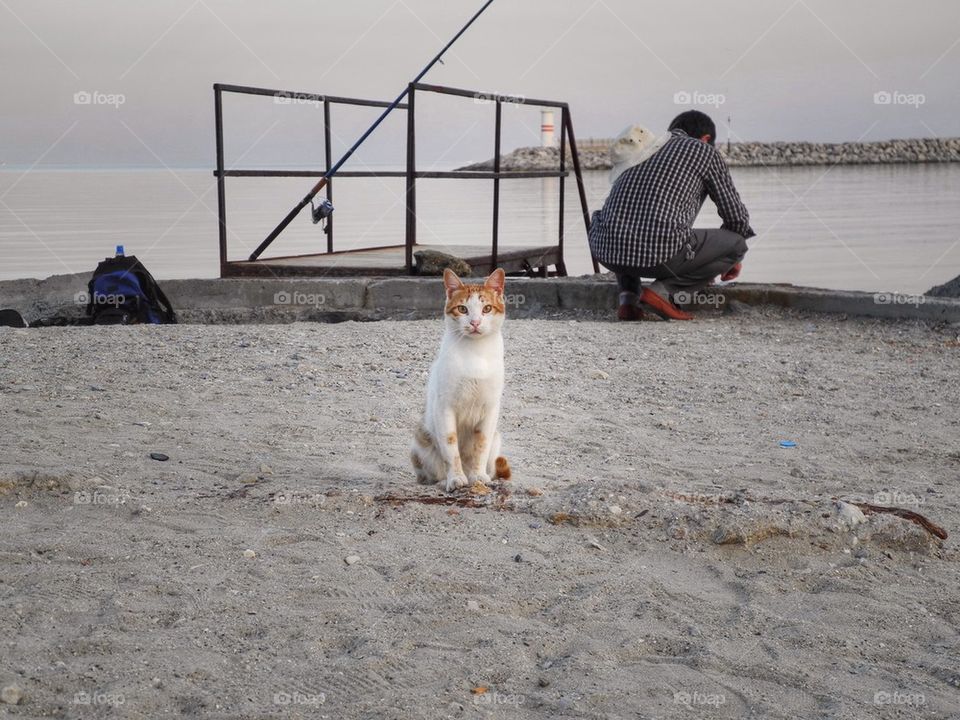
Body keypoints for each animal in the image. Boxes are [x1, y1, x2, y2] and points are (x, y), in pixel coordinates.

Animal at [416, 268, 512, 492]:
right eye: (462, 309)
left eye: (486, 308)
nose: (475, 322)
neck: (475, 353)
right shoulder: (444, 407)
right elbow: (451, 448)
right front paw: (455, 478)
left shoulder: (490, 410)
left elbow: (481, 446)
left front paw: (478, 476)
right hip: (421, 439)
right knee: (431, 474)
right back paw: (443, 480)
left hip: (497, 437)